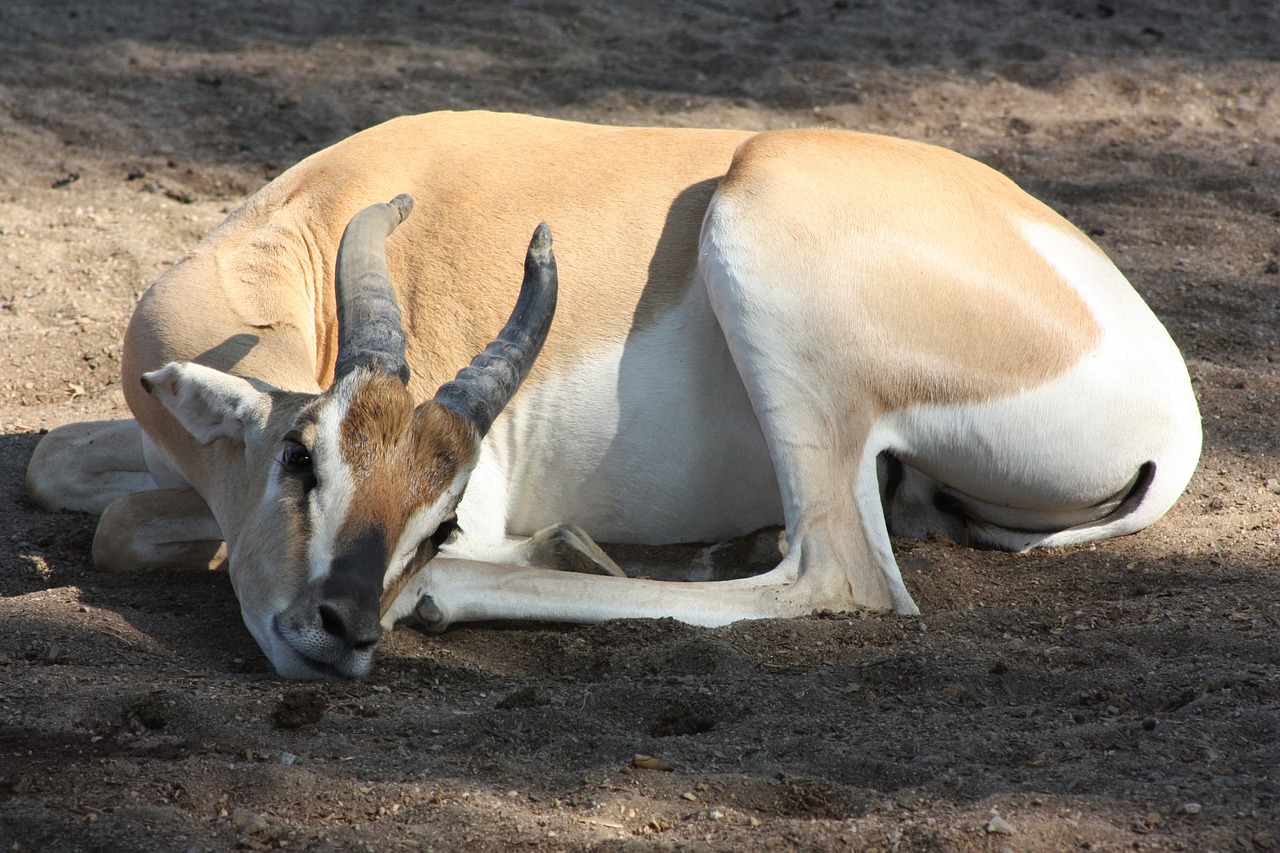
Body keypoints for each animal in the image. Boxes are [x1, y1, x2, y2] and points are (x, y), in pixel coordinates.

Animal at [24, 109, 1203, 676]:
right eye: (299, 457)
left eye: (439, 519)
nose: (342, 625)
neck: (312, 234)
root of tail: (1171, 407)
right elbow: (56, 469)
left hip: (757, 232)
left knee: (842, 576)